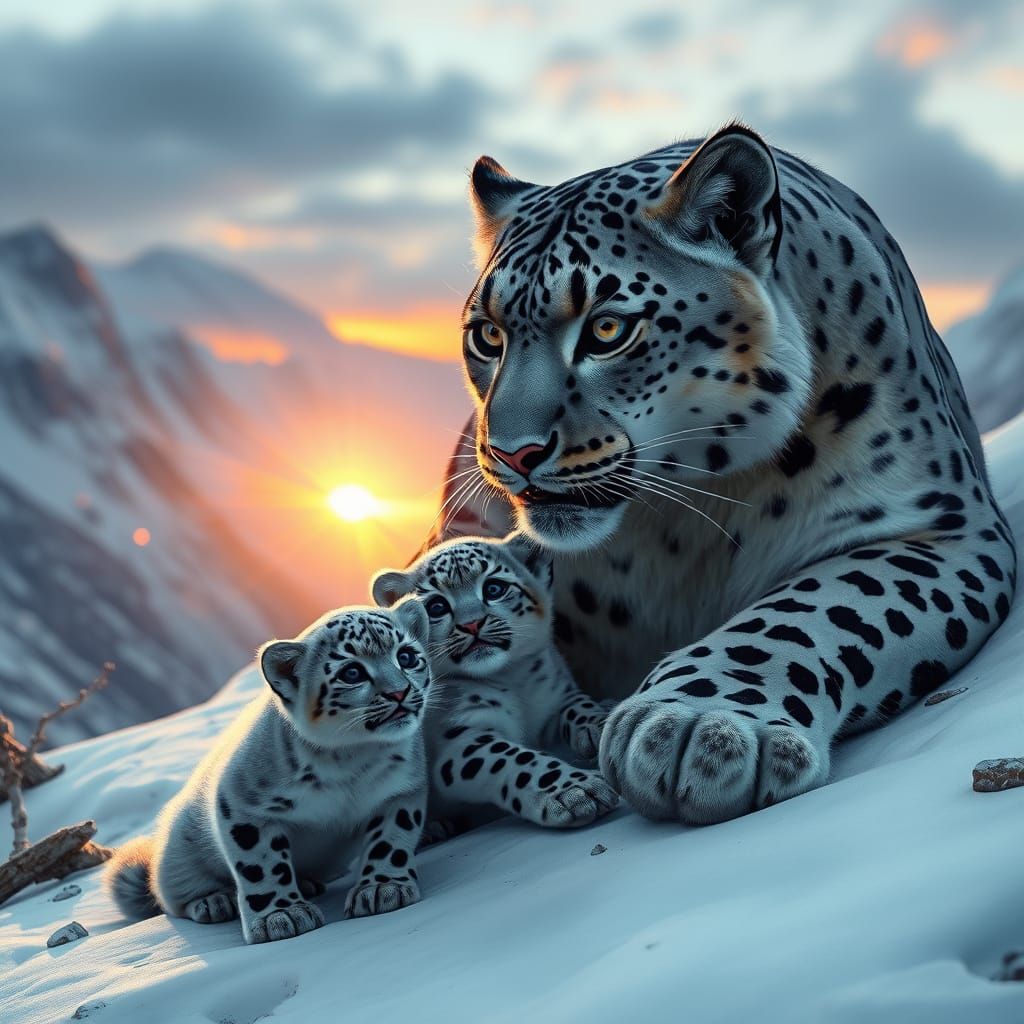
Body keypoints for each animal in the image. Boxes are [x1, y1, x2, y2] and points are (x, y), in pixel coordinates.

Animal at [105, 601, 431, 943]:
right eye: (351, 672)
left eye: (406, 656)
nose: (400, 692)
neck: (351, 761)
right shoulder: (243, 805)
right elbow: (262, 865)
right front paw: (282, 916)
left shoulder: (400, 792)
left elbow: (390, 841)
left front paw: (383, 889)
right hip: (178, 856)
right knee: (173, 895)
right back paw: (214, 901)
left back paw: (307, 884)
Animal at [372, 532, 618, 836]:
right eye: (436, 606)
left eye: (494, 588)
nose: (472, 624)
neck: (513, 679)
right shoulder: (458, 737)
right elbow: (514, 758)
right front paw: (577, 791)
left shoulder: (555, 694)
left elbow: (577, 703)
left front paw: (598, 723)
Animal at [426, 121, 1017, 826]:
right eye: (487, 337)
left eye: (607, 330)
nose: (513, 454)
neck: (680, 522)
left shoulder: (941, 525)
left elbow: (815, 608)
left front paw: (695, 729)